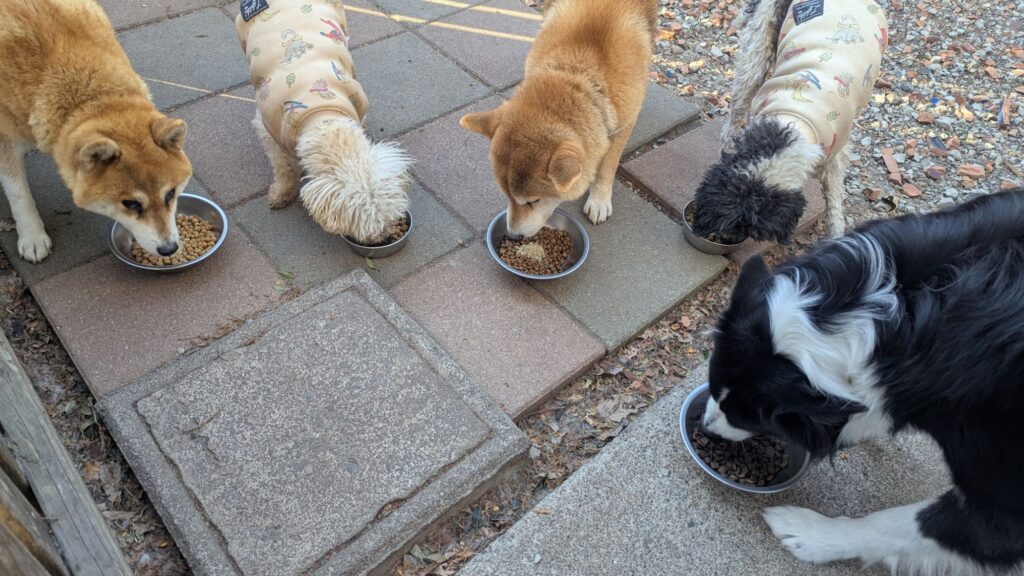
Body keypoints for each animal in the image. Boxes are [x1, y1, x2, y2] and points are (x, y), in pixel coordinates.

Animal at [0, 0, 192, 262]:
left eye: (171, 194)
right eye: (131, 204)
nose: (168, 249)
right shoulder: (4, 139)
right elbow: (19, 194)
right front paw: (32, 236)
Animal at [236, 0, 410, 245]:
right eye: (368, 222)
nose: (385, 237)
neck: (322, 114)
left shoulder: (357, 101)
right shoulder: (267, 128)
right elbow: (283, 167)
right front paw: (283, 192)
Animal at [459, 0, 657, 237]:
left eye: (534, 200)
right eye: (505, 195)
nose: (513, 235)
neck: (579, 70)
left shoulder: (626, 121)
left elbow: (609, 164)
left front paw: (599, 199)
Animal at [691, 0, 888, 245]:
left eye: (751, 228)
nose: (725, 237)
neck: (797, 119)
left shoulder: (837, 150)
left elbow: (835, 200)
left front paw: (836, 235)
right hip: (757, 53)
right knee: (738, 108)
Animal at [700, 189, 1024, 574]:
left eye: (744, 415)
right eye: (712, 386)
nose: (705, 429)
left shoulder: (1001, 495)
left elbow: (900, 525)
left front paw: (811, 534)